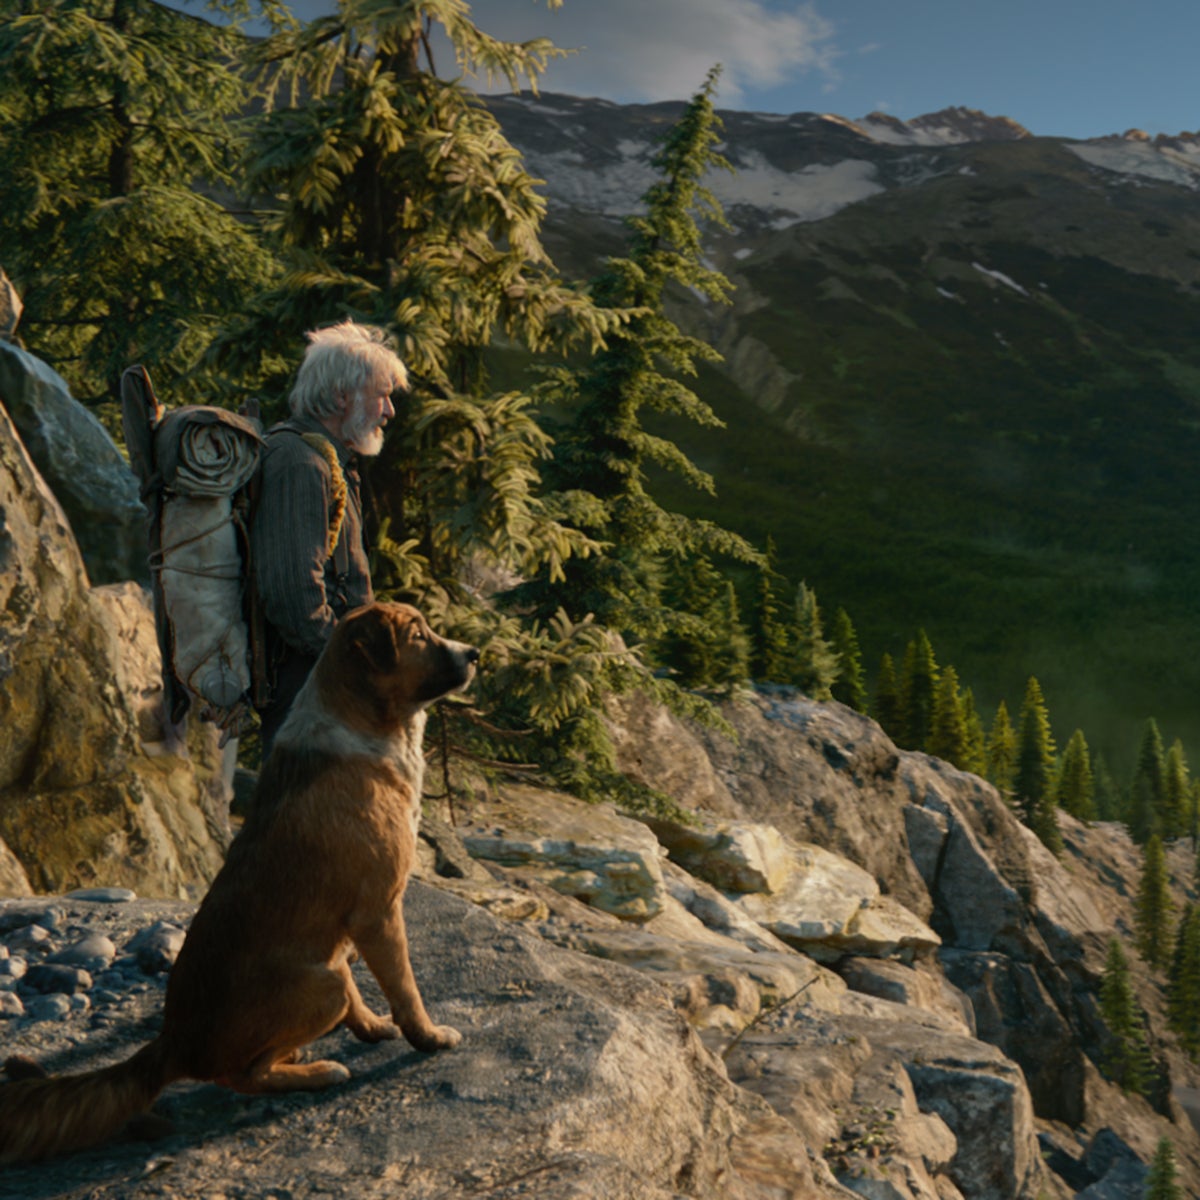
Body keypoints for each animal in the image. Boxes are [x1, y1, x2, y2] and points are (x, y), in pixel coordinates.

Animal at [0, 600, 477, 1161]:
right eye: (418, 635)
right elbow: (406, 990)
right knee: (242, 1075)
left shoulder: (346, 932)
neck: (363, 723)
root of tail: (173, 1043)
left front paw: (373, 1027)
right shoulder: (379, 913)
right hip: (322, 984)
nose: (474, 654)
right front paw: (428, 1037)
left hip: (324, 974)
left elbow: (368, 992)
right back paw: (316, 1072)